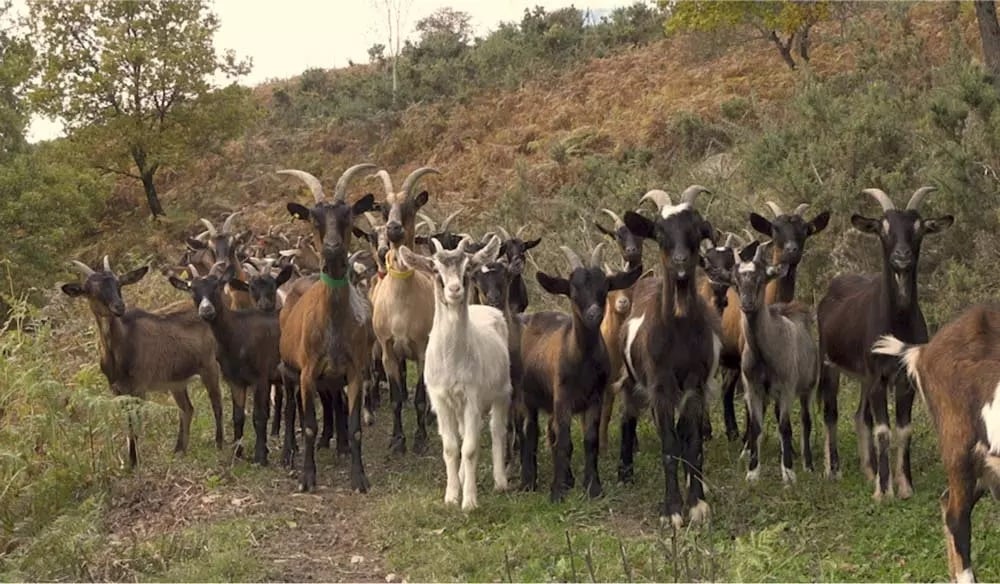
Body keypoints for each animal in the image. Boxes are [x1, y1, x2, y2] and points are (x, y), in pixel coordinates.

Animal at [63, 256, 227, 470]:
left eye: (119, 284)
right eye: (91, 290)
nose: (119, 306)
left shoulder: (139, 387)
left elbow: (134, 424)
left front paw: (134, 462)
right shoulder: (117, 389)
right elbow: (127, 424)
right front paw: (130, 462)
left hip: (209, 365)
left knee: (216, 402)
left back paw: (219, 443)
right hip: (176, 380)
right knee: (187, 408)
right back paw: (178, 450)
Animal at [396, 235, 512, 508]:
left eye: (468, 269)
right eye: (435, 270)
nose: (455, 290)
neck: (452, 361)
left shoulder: (472, 397)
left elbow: (470, 448)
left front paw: (469, 501)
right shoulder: (440, 399)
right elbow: (450, 447)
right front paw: (451, 496)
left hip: (502, 392)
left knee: (497, 430)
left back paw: (500, 481)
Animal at [816, 185, 948, 500]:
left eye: (919, 228)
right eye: (883, 228)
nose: (902, 257)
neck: (896, 322)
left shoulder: (903, 378)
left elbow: (903, 430)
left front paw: (904, 485)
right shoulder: (878, 377)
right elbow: (883, 431)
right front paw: (883, 492)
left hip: (863, 376)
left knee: (859, 416)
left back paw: (869, 470)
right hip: (829, 363)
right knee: (831, 413)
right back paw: (833, 470)